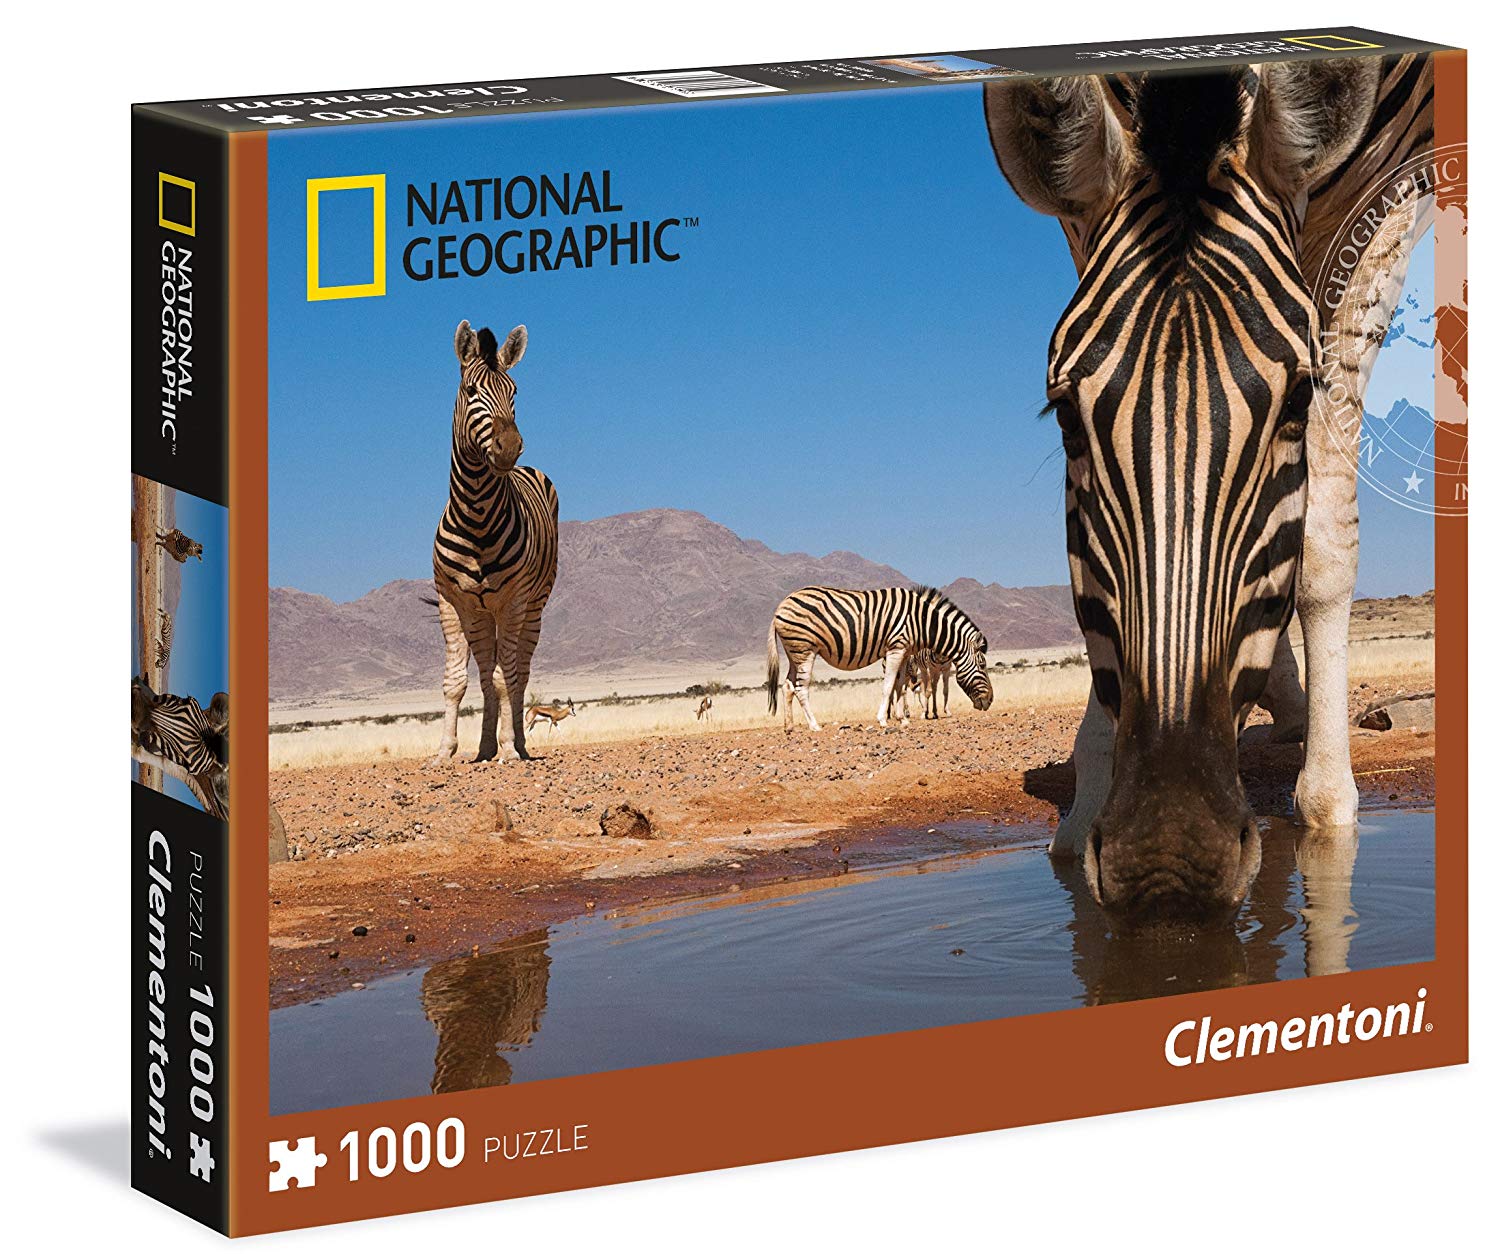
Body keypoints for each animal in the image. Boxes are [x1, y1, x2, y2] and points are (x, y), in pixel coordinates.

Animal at [430, 320, 559, 764]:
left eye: (514, 391)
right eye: (471, 391)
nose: (509, 448)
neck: (476, 513)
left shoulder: (514, 602)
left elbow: (509, 679)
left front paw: (508, 750)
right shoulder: (452, 602)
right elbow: (456, 681)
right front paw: (444, 751)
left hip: (533, 608)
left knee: (519, 673)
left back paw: (515, 742)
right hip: (481, 614)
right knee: (486, 673)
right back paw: (484, 747)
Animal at [767, 586, 993, 732]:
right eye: (982, 665)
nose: (990, 700)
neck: (922, 622)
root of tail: (781, 605)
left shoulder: (904, 652)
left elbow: (900, 686)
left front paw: (902, 720)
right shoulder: (896, 648)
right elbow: (888, 685)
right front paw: (883, 720)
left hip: (794, 652)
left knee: (787, 686)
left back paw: (789, 726)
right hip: (805, 650)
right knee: (801, 688)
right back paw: (814, 725)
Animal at [983, 56, 1434, 921]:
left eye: (1296, 403)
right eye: (1065, 416)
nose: (1168, 861)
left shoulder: (1394, 189)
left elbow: (1323, 535)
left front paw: (1330, 804)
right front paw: (1088, 792)